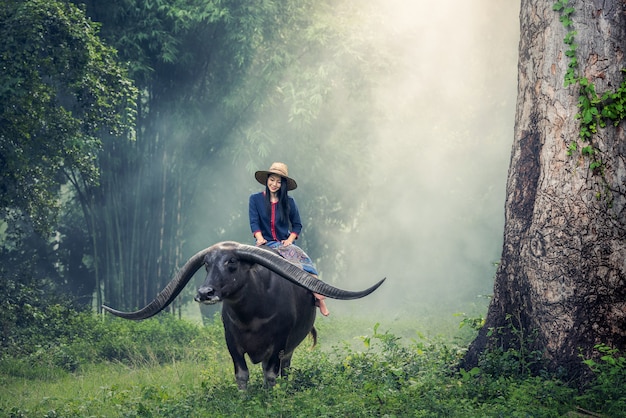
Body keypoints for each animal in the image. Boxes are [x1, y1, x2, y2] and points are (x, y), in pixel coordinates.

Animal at [102, 242, 382, 388]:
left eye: (232, 262)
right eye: (207, 265)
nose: (204, 293)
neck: (252, 317)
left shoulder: (278, 345)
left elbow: (270, 374)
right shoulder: (232, 343)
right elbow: (242, 374)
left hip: (291, 348)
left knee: (285, 370)